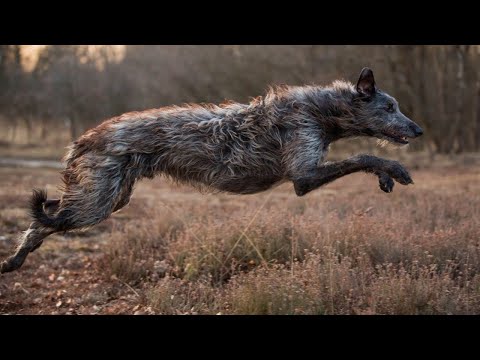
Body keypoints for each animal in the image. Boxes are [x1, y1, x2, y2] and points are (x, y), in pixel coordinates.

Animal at [0, 66, 422, 272]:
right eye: (389, 107)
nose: (418, 130)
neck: (321, 111)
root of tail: (85, 137)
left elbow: (360, 158)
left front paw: (387, 175)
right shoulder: (303, 175)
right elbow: (363, 156)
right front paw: (394, 170)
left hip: (111, 196)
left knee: (50, 216)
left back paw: (14, 262)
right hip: (98, 200)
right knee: (43, 221)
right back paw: (15, 259)